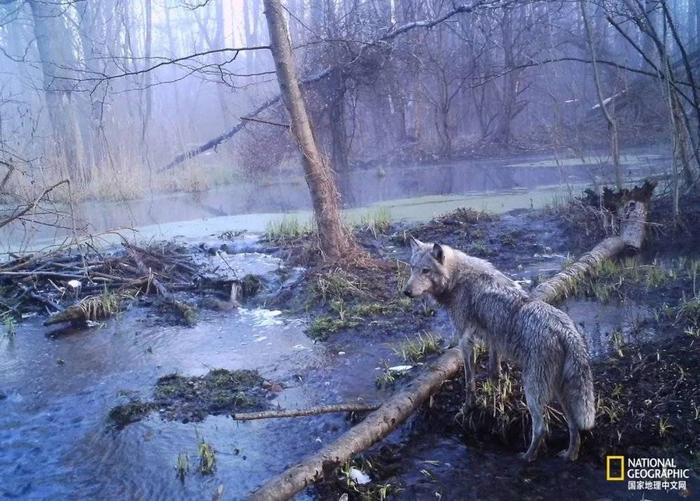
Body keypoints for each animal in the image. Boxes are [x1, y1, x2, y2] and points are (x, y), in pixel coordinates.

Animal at [404, 236, 596, 458]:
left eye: (426, 271)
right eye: (412, 268)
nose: (406, 292)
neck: (457, 279)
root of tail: (566, 331)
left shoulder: (465, 341)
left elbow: (469, 382)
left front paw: (467, 409)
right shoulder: (492, 340)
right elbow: (493, 372)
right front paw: (494, 401)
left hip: (533, 391)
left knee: (541, 428)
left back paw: (527, 457)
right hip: (559, 392)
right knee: (574, 427)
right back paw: (568, 456)